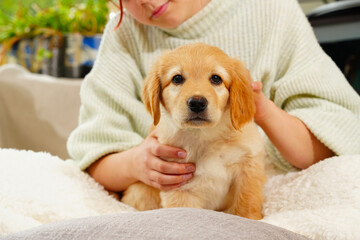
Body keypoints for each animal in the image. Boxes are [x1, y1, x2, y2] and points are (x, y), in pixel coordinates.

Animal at [122, 42, 266, 219]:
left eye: (216, 78)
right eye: (177, 78)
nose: (197, 103)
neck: (206, 136)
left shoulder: (248, 169)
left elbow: (247, 205)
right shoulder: (179, 186)